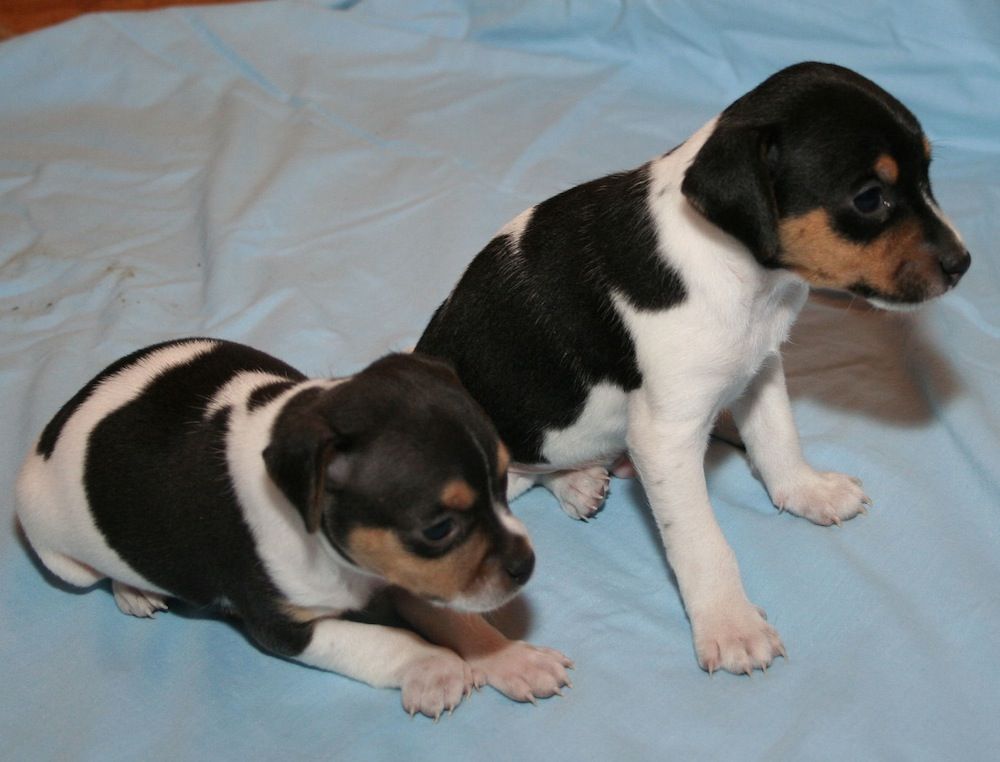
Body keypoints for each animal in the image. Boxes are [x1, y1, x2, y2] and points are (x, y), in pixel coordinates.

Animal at [15, 338, 572, 720]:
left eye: (504, 481)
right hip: (62, 555)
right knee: (104, 572)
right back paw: (134, 590)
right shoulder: (281, 626)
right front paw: (433, 666)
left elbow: (456, 617)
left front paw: (511, 659)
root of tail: (61, 416)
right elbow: (382, 640)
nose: (526, 565)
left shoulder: (406, 575)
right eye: (439, 529)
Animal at [414, 63, 968, 672]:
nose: (963, 263)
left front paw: (806, 490)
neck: (739, 273)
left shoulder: (759, 366)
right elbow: (702, 543)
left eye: (928, 174)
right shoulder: (666, 436)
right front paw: (730, 624)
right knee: (520, 475)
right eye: (870, 198)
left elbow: (778, 439)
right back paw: (574, 482)